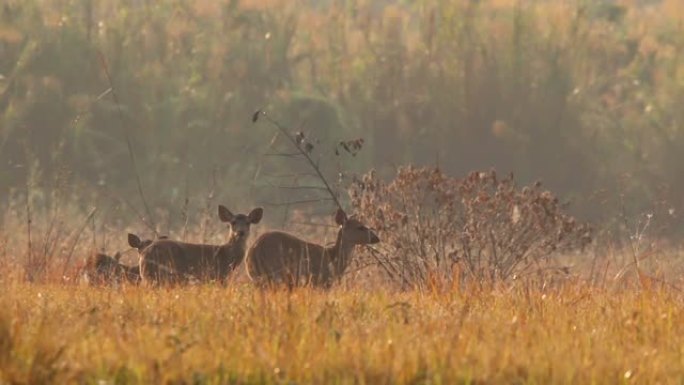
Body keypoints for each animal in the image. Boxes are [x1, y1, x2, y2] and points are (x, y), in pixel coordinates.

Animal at [244, 207, 380, 288]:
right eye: (360, 227)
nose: (376, 238)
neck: (333, 261)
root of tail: (254, 251)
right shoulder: (320, 282)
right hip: (277, 275)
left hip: (257, 277)